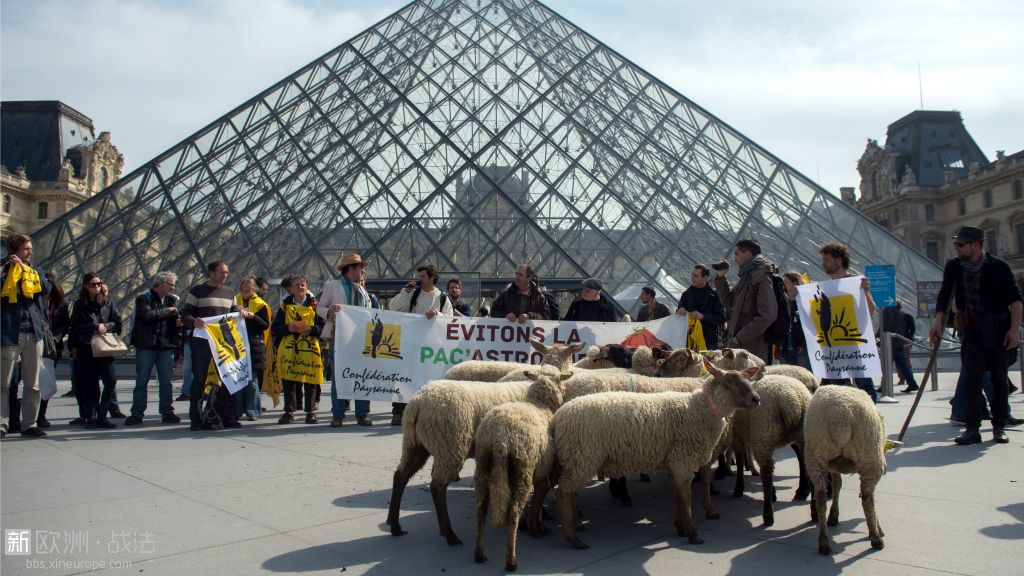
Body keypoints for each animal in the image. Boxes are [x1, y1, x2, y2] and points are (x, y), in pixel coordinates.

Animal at [552, 358, 761, 545]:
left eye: (747, 378)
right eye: (729, 381)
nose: (756, 399)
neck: (699, 409)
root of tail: (558, 417)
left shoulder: (673, 464)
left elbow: (678, 499)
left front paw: (680, 527)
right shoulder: (683, 462)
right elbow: (687, 501)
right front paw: (693, 535)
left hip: (575, 459)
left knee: (567, 492)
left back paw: (576, 525)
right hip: (583, 456)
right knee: (562, 493)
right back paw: (573, 538)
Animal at [733, 373, 811, 524]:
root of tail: (792, 401)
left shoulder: (736, 436)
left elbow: (739, 462)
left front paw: (738, 488)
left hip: (763, 434)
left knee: (767, 472)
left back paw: (768, 515)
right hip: (798, 435)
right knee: (803, 460)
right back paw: (806, 497)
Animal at [802, 383, 884, 553]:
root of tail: (840, 420)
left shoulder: (833, 467)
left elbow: (836, 485)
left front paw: (834, 516)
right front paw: (878, 528)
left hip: (817, 456)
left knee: (820, 498)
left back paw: (824, 542)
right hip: (870, 458)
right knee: (867, 498)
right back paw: (876, 539)